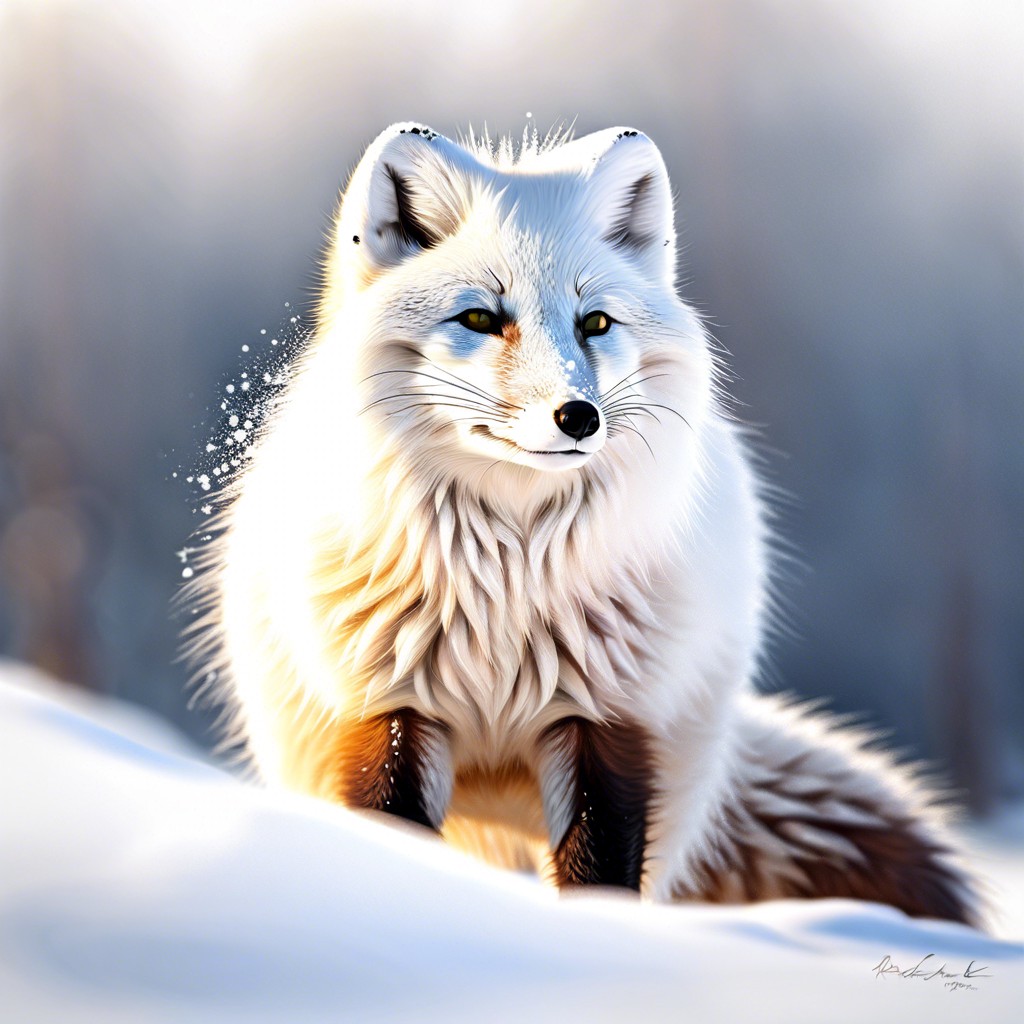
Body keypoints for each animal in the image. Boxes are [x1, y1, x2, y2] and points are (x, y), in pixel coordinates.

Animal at [197, 123, 974, 925]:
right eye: (480, 318)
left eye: (595, 323)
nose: (578, 416)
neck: (506, 592)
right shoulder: (390, 713)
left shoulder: (608, 726)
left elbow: (600, 875)